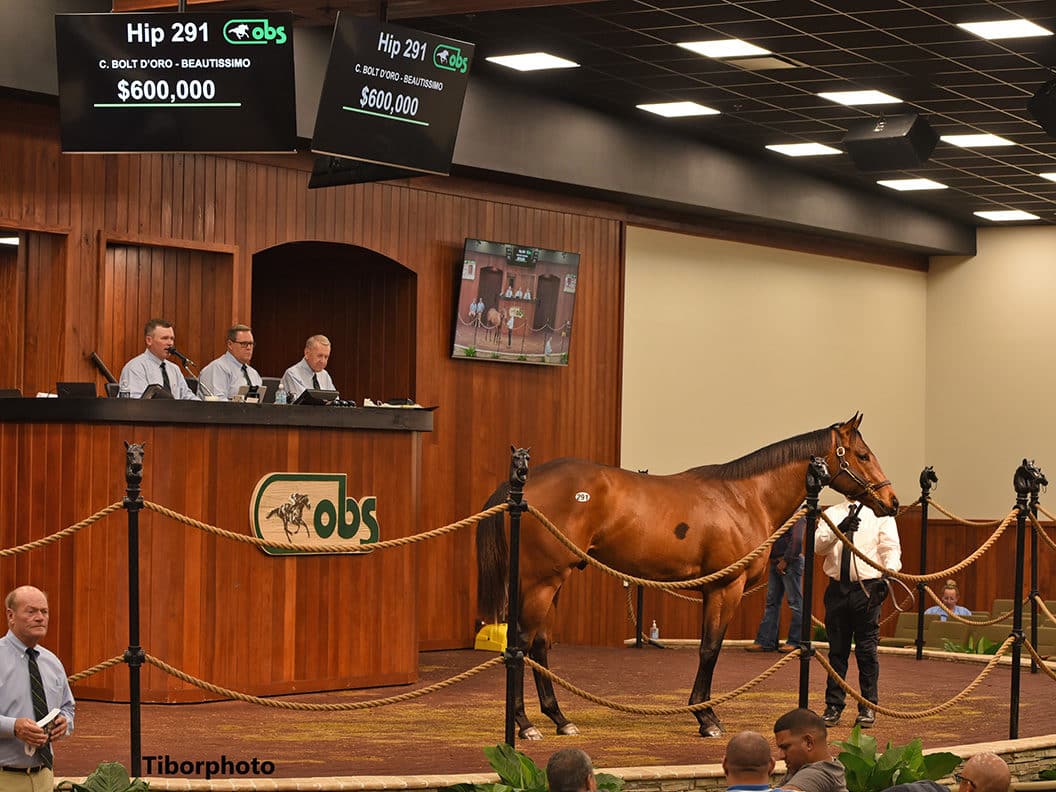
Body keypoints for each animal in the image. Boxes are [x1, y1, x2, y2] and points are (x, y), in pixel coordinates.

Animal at [479, 416, 899, 739]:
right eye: (862, 455)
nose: (891, 501)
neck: (744, 497)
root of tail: (522, 486)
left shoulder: (711, 590)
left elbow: (706, 648)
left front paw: (702, 711)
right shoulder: (726, 588)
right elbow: (710, 649)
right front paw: (706, 717)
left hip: (550, 581)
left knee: (539, 644)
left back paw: (559, 719)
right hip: (542, 582)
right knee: (520, 643)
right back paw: (525, 725)